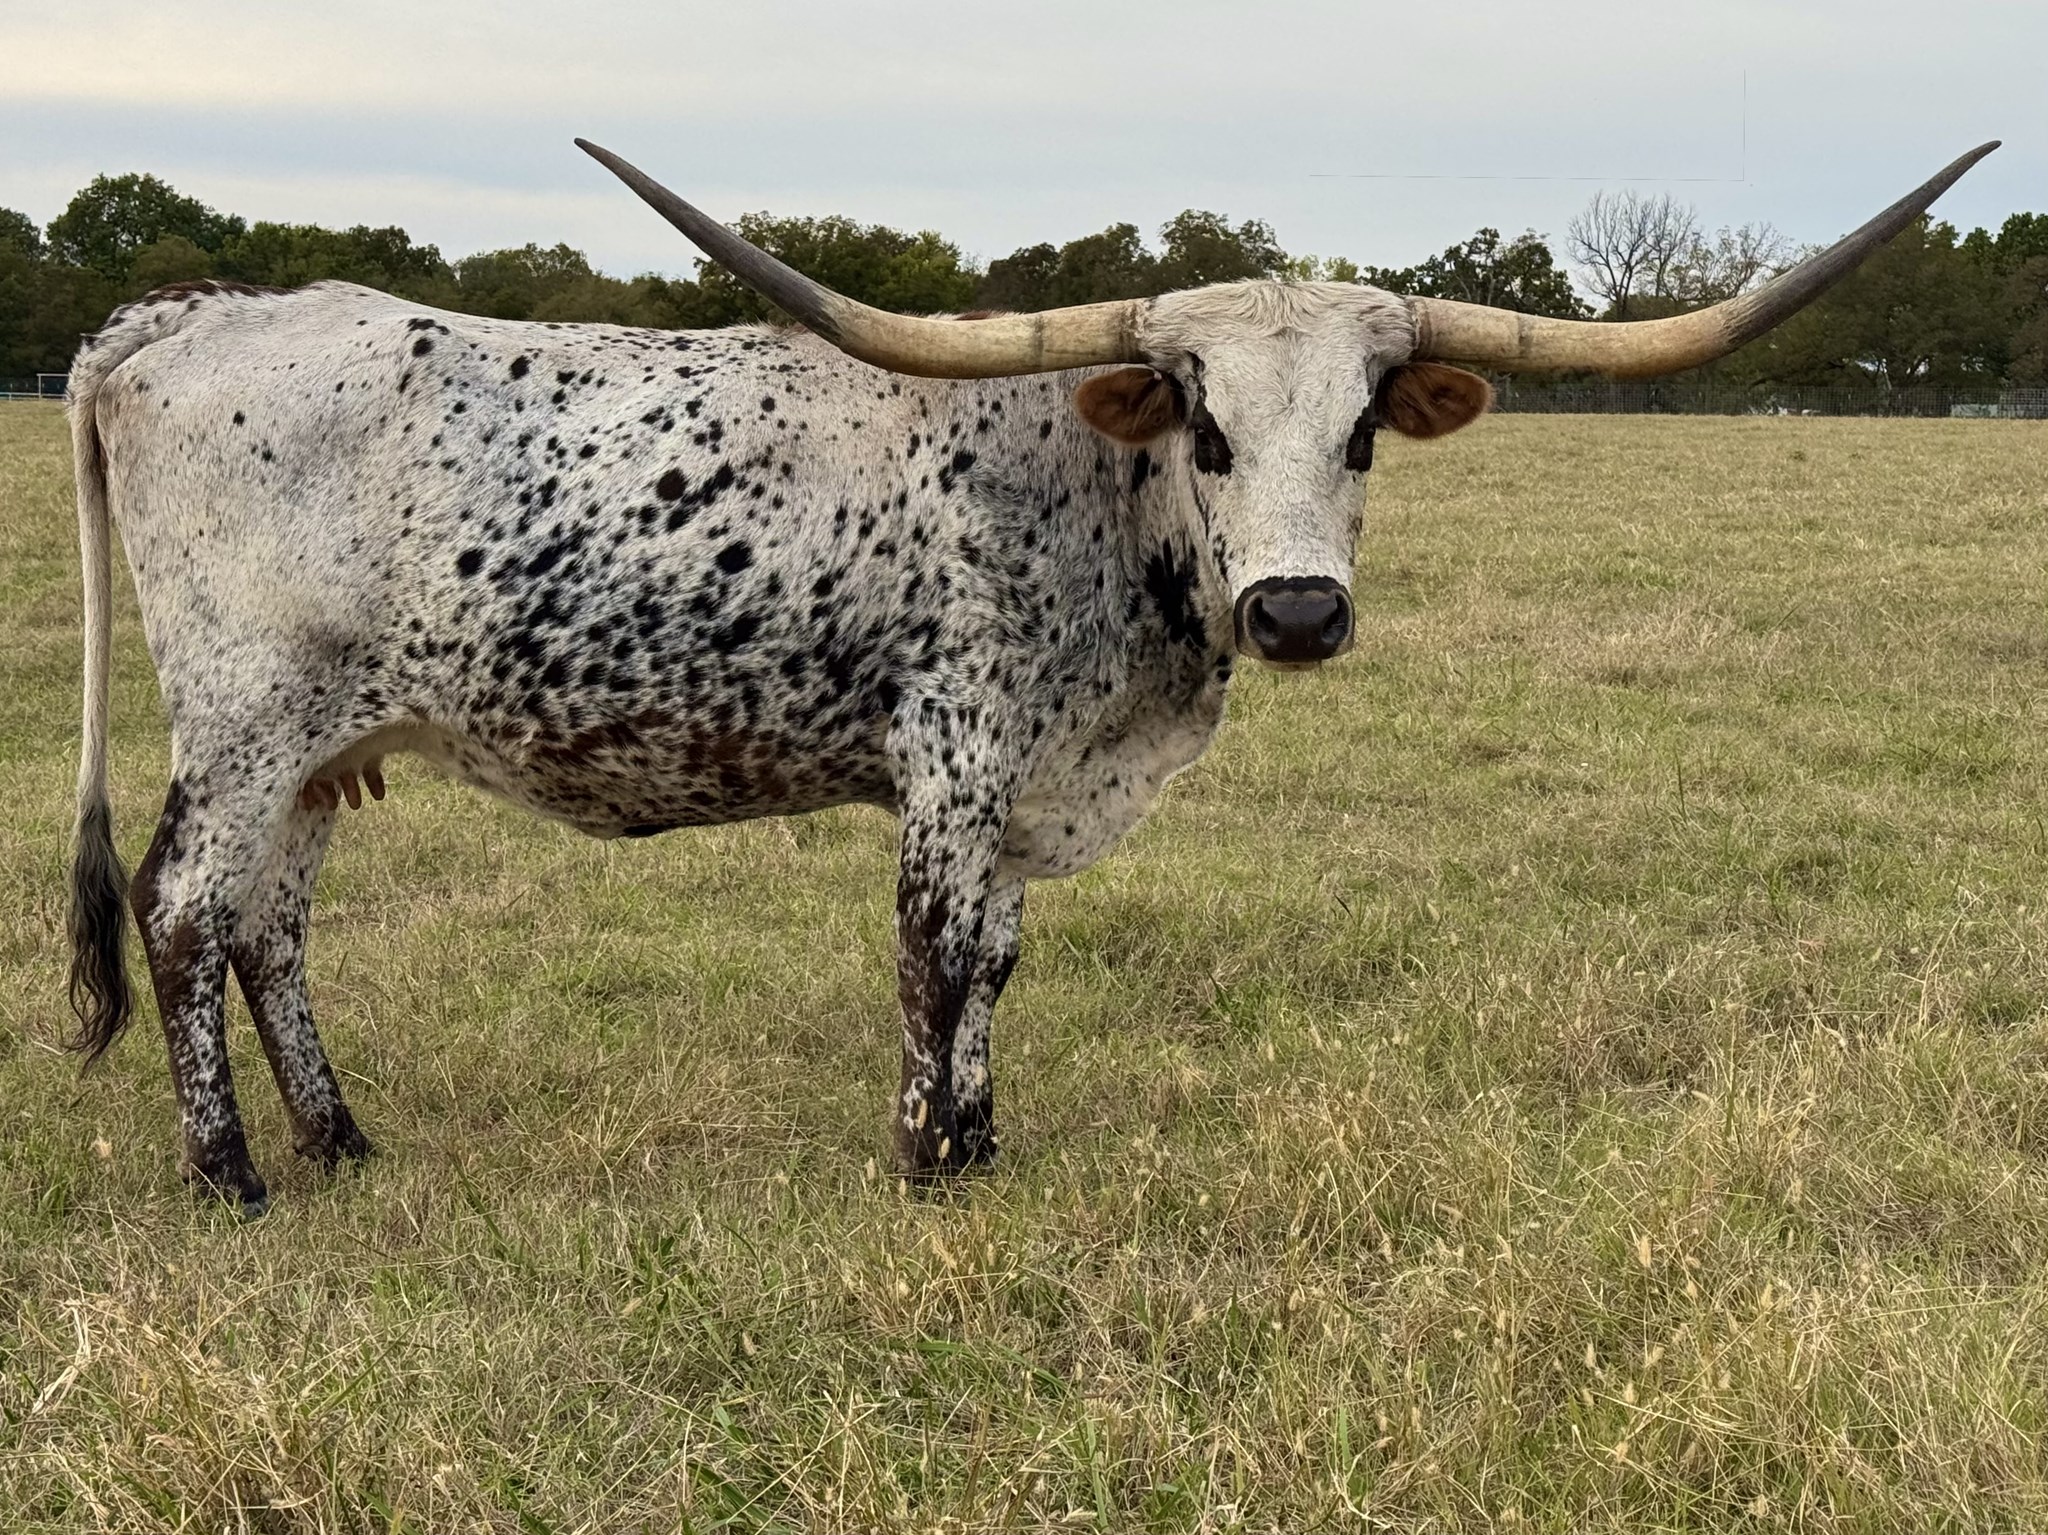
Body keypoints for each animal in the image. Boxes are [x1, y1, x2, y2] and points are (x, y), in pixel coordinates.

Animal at [63, 140, 1996, 1213]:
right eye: (1203, 421)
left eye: (1367, 424)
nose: (1299, 614)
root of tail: (175, 320)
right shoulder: (956, 756)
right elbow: (933, 954)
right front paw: (926, 1160)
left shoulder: (1031, 785)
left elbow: (997, 959)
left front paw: (983, 1143)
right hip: (244, 721)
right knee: (181, 911)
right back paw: (232, 1177)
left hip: (331, 742)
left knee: (271, 926)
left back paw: (341, 1139)